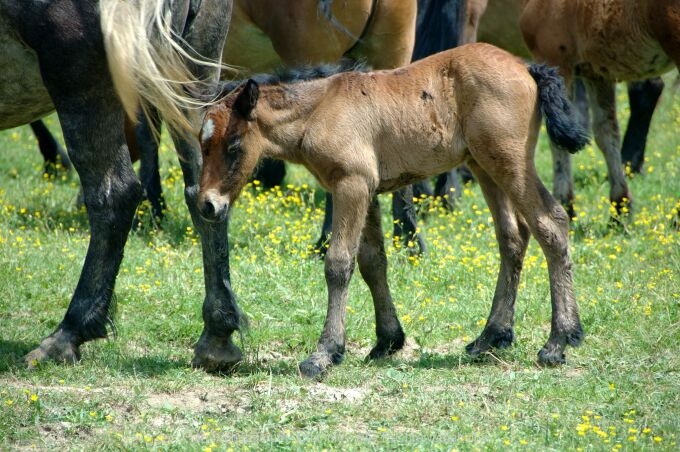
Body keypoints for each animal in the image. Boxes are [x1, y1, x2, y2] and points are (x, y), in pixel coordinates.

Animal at [0, 0, 242, 370]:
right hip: (195, 72)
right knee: (204, 195)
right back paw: (217, 337)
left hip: (80, 74)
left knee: (114, 195)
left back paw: (68, 333)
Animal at [194, 43, 588, 374]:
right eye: (203, 144)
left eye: (233, 145)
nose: (208, 205)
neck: (320, 108)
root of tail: (527, 67)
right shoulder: (367, 189)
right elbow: (373, 263)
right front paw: (388, 341)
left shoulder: (351, 185)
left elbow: (338, 264)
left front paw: (324, 353)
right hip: (483, 165)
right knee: (513, 237)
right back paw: (491, 336)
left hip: (509, 161)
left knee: (551, 223)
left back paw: (558, 342)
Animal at [520, 0, 676, 217]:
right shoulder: (597, 73)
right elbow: (607, 134)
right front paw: (620, 208)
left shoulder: (555, 58)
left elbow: (557, 140)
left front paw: (565, 206)